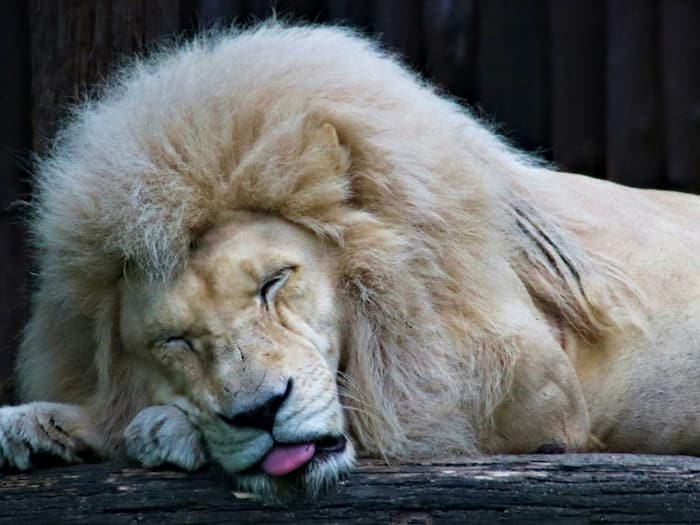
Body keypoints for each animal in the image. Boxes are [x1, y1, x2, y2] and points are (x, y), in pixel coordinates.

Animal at [2, 23, 699, 498]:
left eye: (274, 282)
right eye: (174, 340)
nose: (260, 413)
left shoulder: (526, 396)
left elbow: (378, 404)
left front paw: (164, 429)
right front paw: (41, 423)